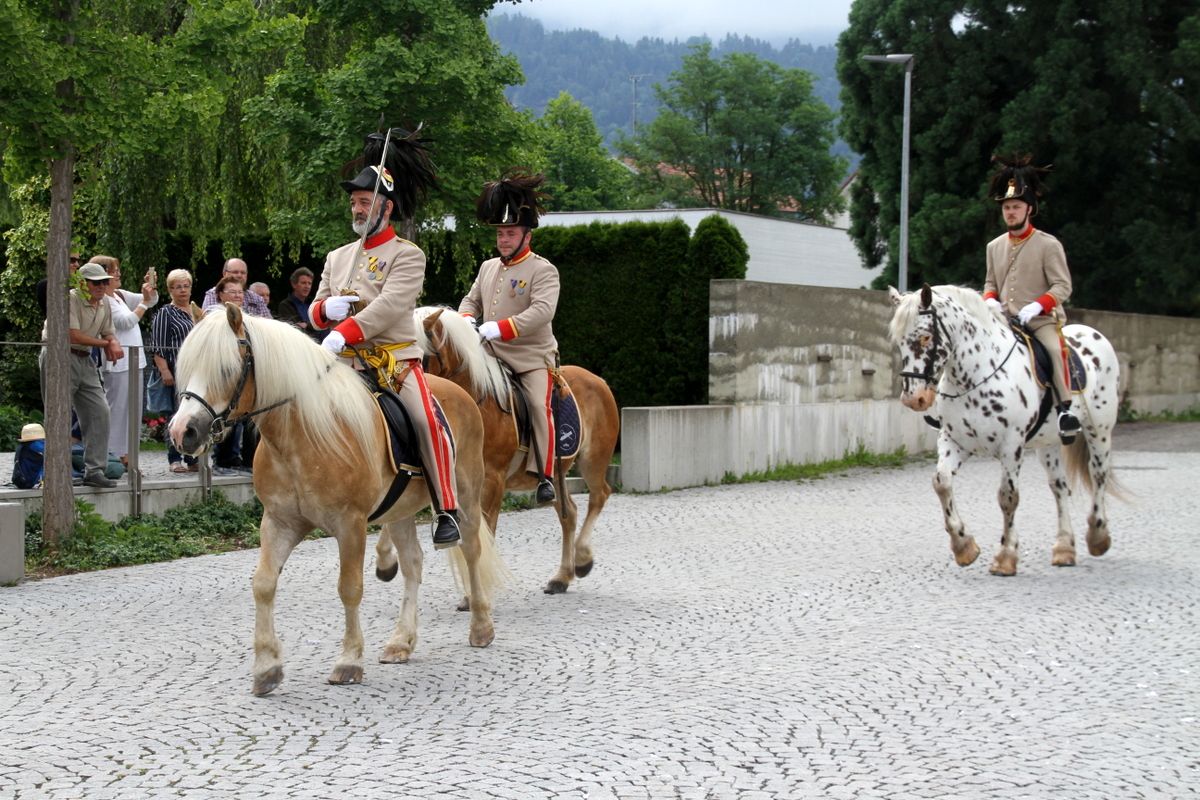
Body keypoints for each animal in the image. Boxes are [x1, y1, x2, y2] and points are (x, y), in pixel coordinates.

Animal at [169, 305, 506, 696]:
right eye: (186, 365)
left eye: (225, 368)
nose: (182, 431)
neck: (299, 435)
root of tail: (458, 392)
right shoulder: (279, 522)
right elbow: (263, 584)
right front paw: (267, 667)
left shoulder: (350, 524)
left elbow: (349, 588)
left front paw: (348, 661)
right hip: (400, 510)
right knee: (412, 563)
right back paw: (401, 641)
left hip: (466, 494)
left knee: (471, 550)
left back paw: (481, 625)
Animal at [415, 306, 620, 594]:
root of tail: (597, 379)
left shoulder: (493, 480)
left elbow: (484, 534)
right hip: (558, 474)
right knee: (569, 513)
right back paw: (562, 577)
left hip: (593, 461)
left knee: (599, 495)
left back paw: (582, 558)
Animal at [888, 284, 1122, 576]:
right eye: (899, 342)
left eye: (925, 337)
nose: (914, 399)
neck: (976, 376)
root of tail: (1092, 333)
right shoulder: (955, 441)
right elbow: (941, 482)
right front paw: (963, 546)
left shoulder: (1011, 446)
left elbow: (1008, 497)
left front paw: (1006, 556)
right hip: (1048, 444)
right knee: (1059, 487)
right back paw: (1064, 548)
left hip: (1099, 430)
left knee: (1098, 475)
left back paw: (1098, 537)